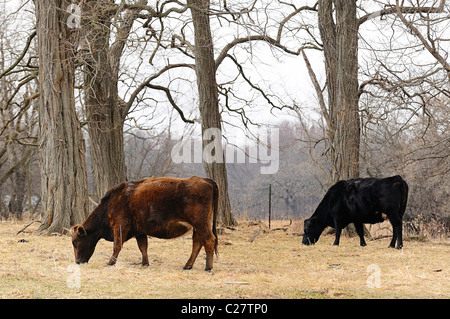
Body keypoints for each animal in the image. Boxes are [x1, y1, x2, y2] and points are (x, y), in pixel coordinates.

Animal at [69, 176, 219, 272]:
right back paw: (187, 266)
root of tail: (206, 180)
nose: (77, 262)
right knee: (197, 243)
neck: (113, 201)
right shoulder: (140, 231)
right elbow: (143, 247)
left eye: (75, 242)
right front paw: (145, 264)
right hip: (197, 226)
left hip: (201, 224)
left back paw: (208, 267)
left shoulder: (120, 226)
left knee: (209, 240)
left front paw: (110, 263)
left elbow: (117, 245)